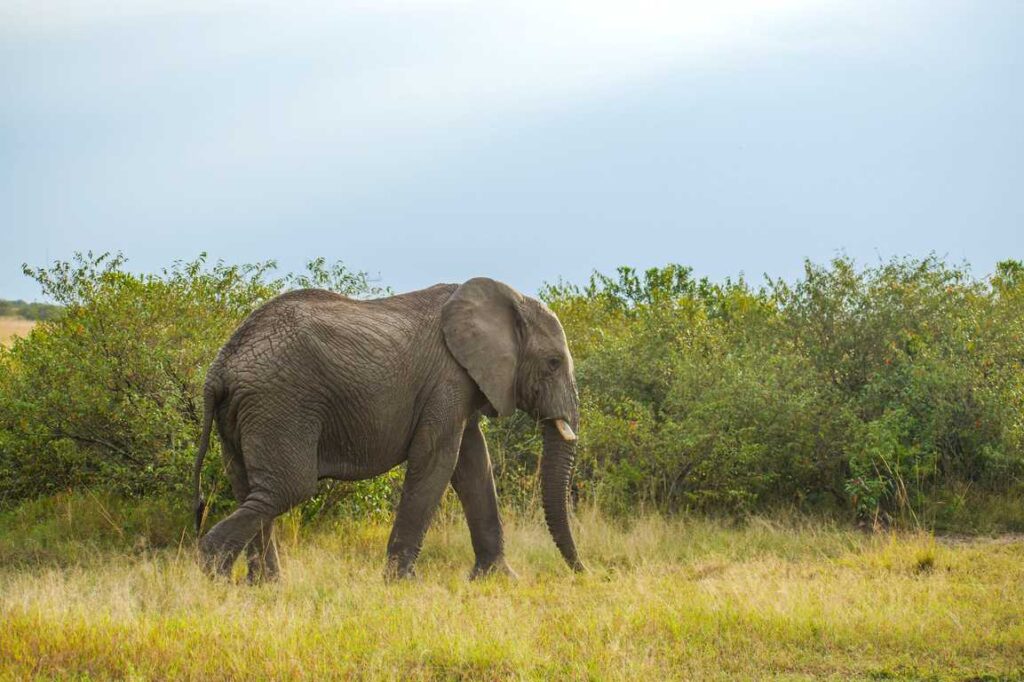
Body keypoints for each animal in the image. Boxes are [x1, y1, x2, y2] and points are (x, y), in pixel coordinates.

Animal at [192, 277, 583, 582]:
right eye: (553, 363)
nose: (584, 572)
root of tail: (220, 367)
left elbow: (474, 466)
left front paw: (499, 579)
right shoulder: (447, 379)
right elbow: (437, 461)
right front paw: (404, 583)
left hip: (245, 413)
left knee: (251, 489)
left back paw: (263, 586)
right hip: (280, 403)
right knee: (288, 488)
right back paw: (216, 573)